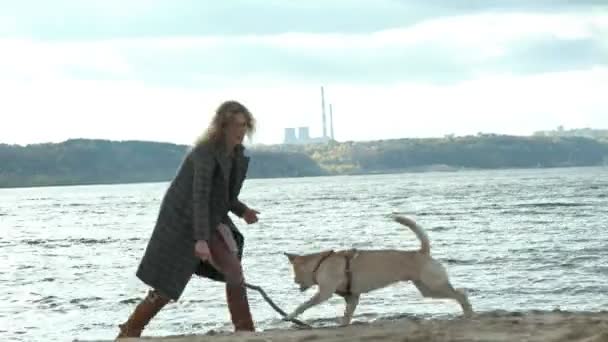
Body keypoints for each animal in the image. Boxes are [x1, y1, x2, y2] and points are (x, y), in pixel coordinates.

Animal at [282, 215, 472, 324]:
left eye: (296, 272)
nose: (295, 281)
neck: (319, 263)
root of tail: (422, 252)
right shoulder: (352, 298)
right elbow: (347, 315)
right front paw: (343, 324)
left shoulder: (324, 293)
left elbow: (303, 305)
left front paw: (289, 316)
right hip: (427, 290)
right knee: (458, 292)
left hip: (433, 284)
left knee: (460, 293)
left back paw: (469, 313)